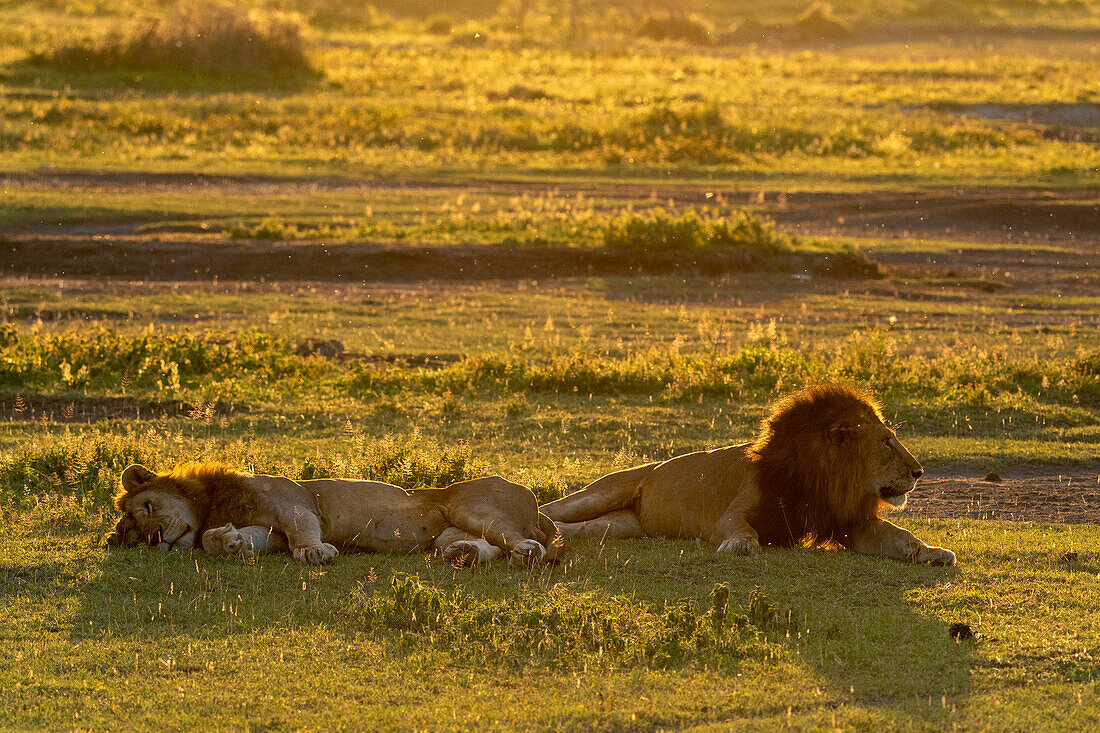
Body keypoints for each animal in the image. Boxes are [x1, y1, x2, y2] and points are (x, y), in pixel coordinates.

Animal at [541, 383, 954, 563]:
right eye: (886, 441)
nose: (919, 472)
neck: (821, 480)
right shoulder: (735, 511)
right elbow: (740, 527)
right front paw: (740, 545)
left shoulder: (847, 521)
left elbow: (898, 536)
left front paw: (932, 552)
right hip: (601, 493)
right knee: (555, 509)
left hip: (623, 526)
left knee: (582, 529)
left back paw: (554, 535)